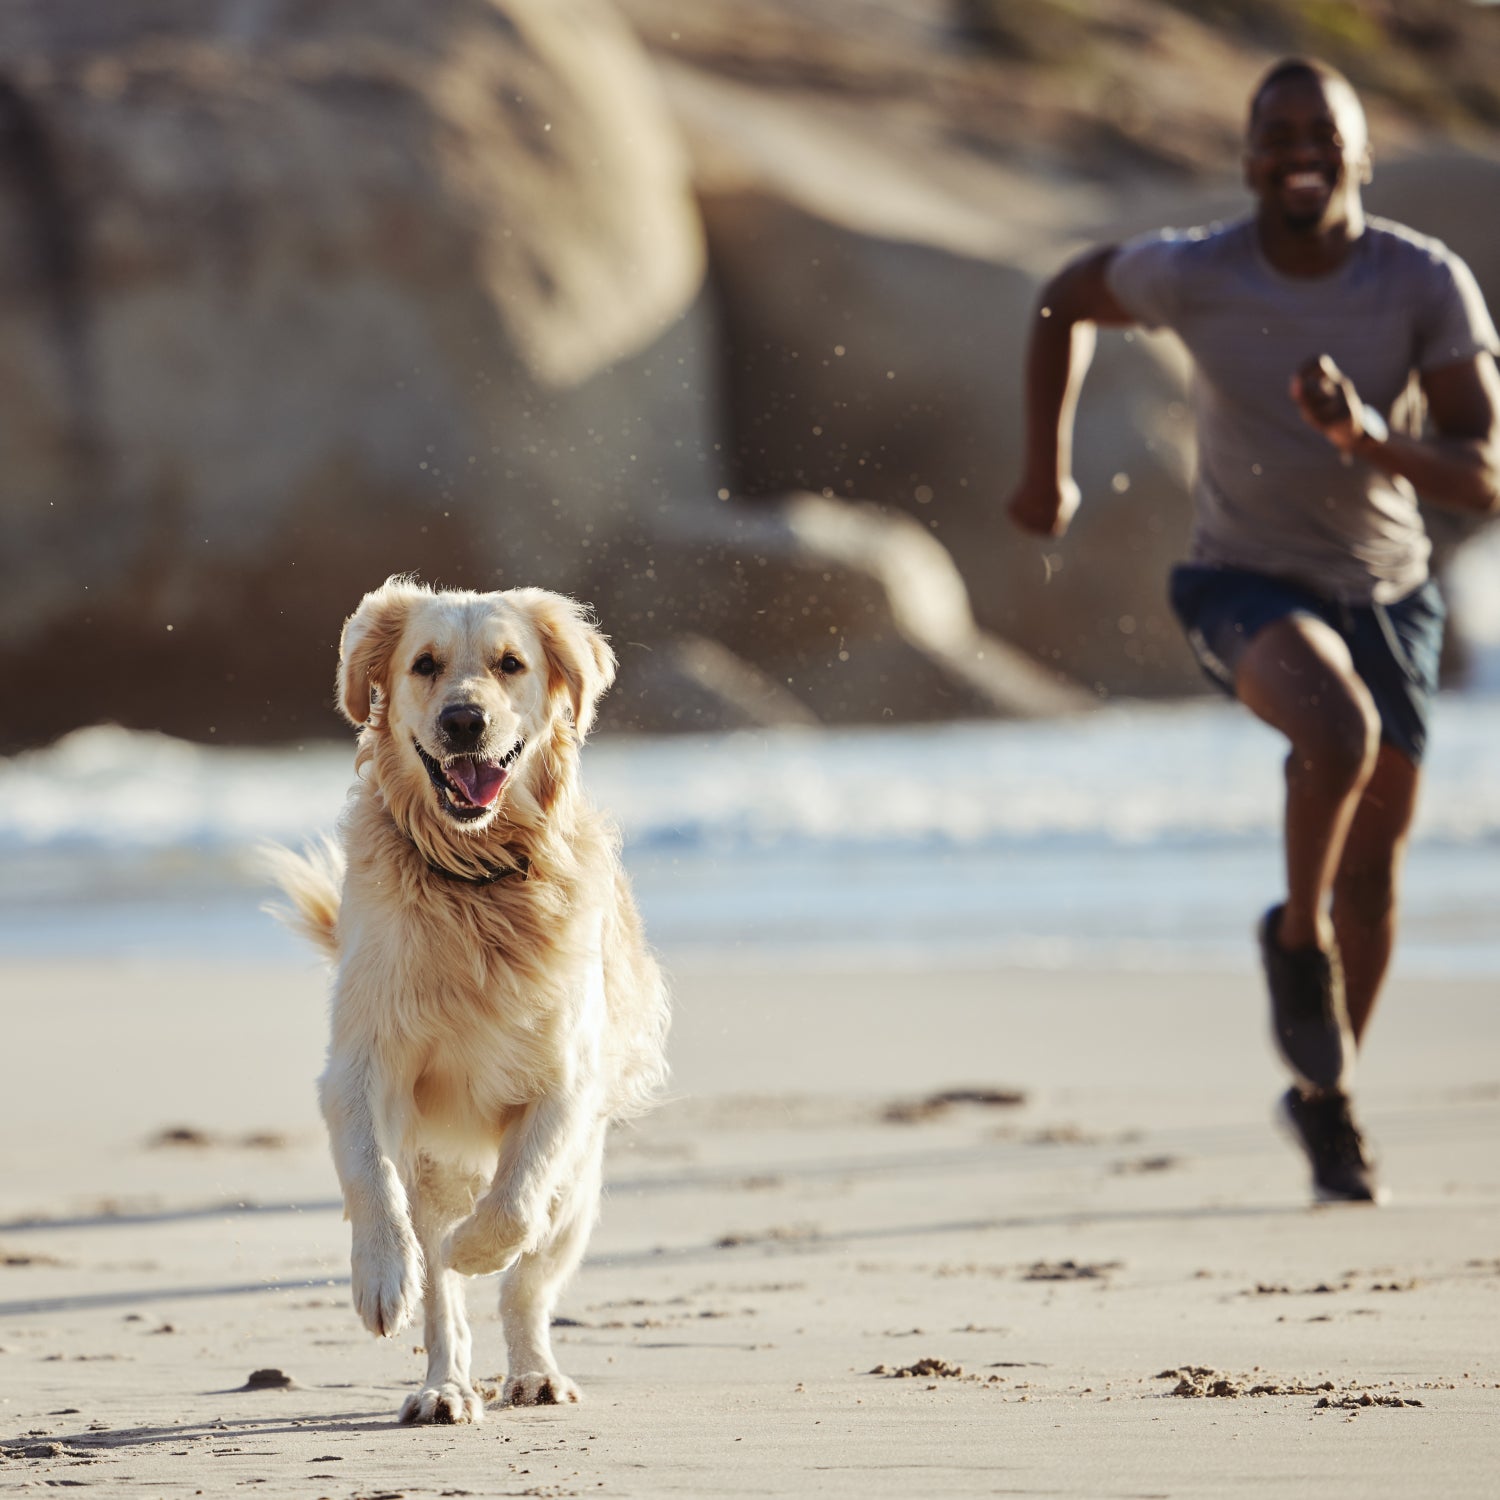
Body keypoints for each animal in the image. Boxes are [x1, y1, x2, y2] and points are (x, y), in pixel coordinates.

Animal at [268, 579, 669, 1422]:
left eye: (510, 663)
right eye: (425, 664)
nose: (463, 721)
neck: (474, 881)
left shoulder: (566, 1083)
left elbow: (515, 1207)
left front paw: (476, 1249)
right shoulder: (361, 1064)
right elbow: (372, 1182)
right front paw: (383, 1275)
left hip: (581, 1194)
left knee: (529, 1283)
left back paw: (534, 1372)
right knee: (443, 1301)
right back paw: (443, 1387)